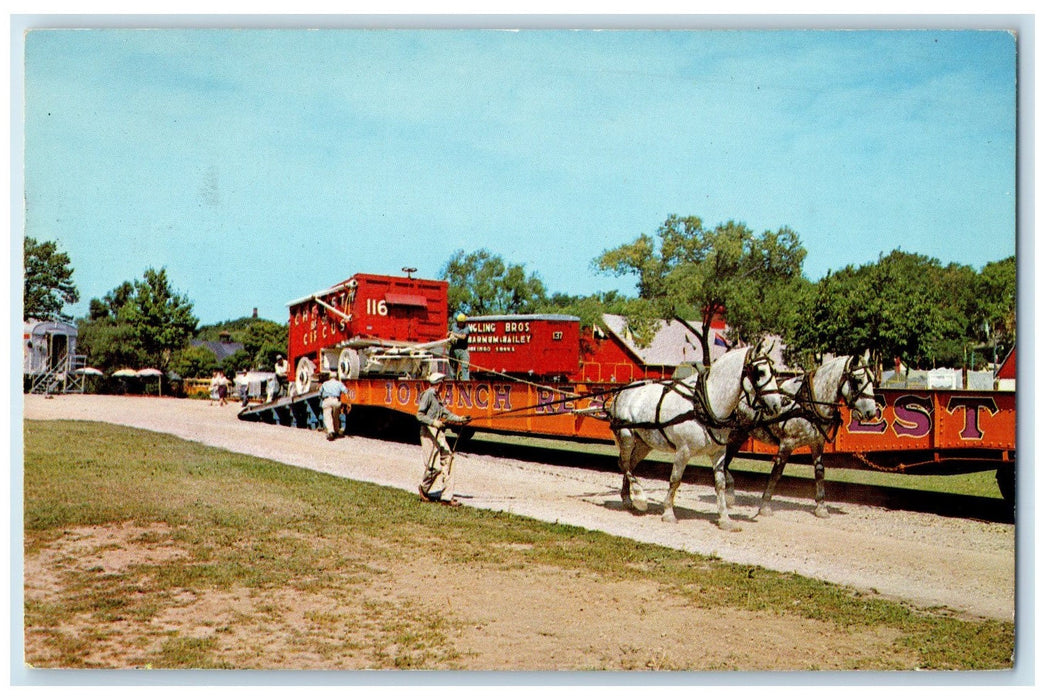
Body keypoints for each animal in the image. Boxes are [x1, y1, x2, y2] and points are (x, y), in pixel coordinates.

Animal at [610, 344, 785, 532]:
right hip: (627, 436)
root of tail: (621, 391)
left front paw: (725, 519)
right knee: (625, 464)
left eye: (774, 370)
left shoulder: (718, 453)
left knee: (629, 464)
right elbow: (675, 480)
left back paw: (628, 498)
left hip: (644, 444)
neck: (705, 404)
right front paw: (668, 513)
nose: (777, 405)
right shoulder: (683, 451)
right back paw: (639, 498)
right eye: (760, 372)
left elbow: (720, 484)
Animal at [718, 351, 873, 520]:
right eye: (858, 380)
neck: (807, 402)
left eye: (872, 380)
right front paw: (765, 506)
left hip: (740, 434)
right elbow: (776, 474)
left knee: (725, 462)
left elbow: (820, 471)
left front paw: (821, 507)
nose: (872, 412)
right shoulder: (787, 444)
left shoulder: (817, 443)